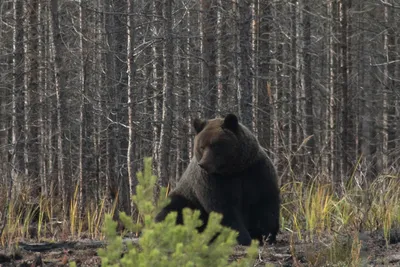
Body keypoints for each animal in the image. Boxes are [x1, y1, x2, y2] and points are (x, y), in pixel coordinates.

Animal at [155, 114, 280, 246]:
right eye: (201, 147)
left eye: (215, 145)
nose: (203, 164)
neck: (233, 170)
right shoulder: (212, 180)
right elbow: (223, 207)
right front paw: (242, 237)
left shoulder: (256, 172)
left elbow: (265, 204)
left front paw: (266, 236)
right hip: (188, 199)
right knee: (172, 209)